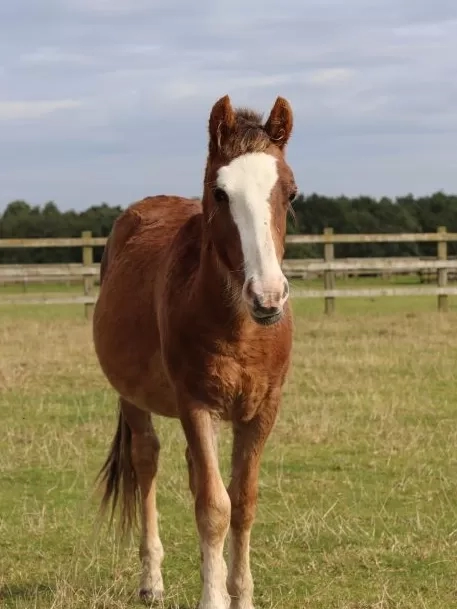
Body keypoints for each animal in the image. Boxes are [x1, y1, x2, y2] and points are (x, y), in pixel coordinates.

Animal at [93, 94, 296, 608]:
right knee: (147, 460)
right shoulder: (196, 404)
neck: (241, 329)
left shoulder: (262, 410)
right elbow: (213, 506)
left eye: (290, 193)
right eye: (220, 193)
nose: (267, 296)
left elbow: (241, 501)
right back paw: (151, 581)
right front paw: (214, 599)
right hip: (134, 398)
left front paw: (239, 595)